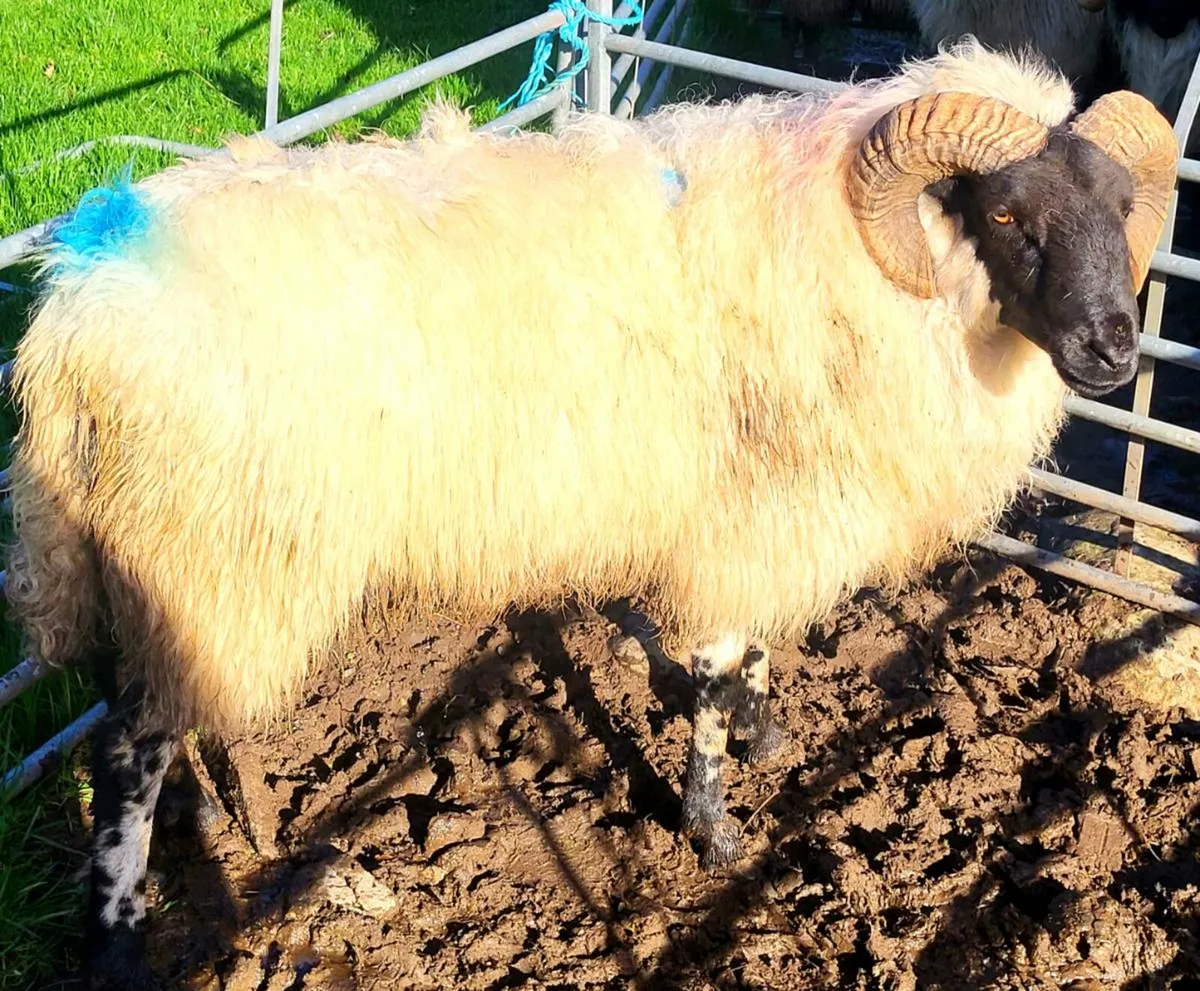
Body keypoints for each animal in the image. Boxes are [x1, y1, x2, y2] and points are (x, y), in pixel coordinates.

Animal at [5, 40, 1176, 991]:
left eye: (1122, 210)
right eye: (1008, 212)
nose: (1114, 350)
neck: (853, 250)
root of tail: (72, 315)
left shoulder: (772, 509)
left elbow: (754, 654)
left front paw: (766, 735)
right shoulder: (739, 510)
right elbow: (712, 668)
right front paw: (713, 830)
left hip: (178, 557)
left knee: (138, 693)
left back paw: (209, 816)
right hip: (212, 546)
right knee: (124, 749)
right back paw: (118, 940)